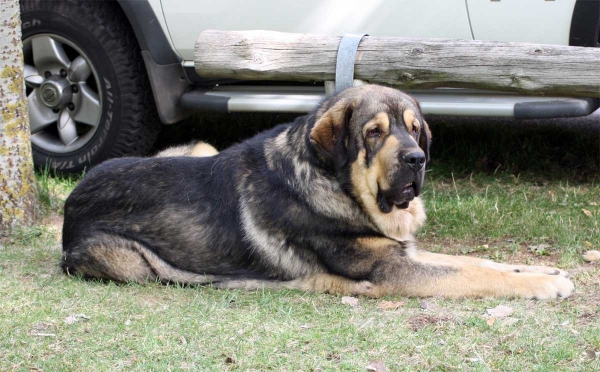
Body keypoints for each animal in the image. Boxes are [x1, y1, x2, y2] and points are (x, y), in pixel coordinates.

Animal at [59, 85, 572, 300]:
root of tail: (69, 203)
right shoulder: (392, 271)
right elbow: (473, 274)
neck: (339, 187)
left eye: (414, 130)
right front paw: (544, 284)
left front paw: (539, 269)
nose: (416, 160)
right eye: (373, 133)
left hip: (199, 147)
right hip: (131, 263)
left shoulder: (401, 249)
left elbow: (477, 262)